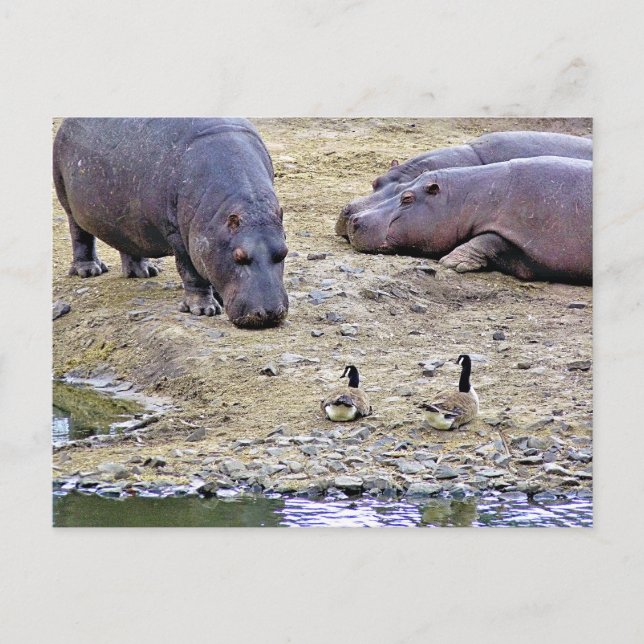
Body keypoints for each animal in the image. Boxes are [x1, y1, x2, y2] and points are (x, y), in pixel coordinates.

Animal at [53, 118, 289, 328]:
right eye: (238, 256)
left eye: (284, 252)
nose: (270, 313)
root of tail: (66, 122)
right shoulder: (178, 235)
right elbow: (190, 271)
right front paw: (204, 310)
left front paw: (217, 299)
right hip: (67, 201)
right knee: (80, 235)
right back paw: (90, 270)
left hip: (124, 215)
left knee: (127, 239)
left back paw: (144, 272)